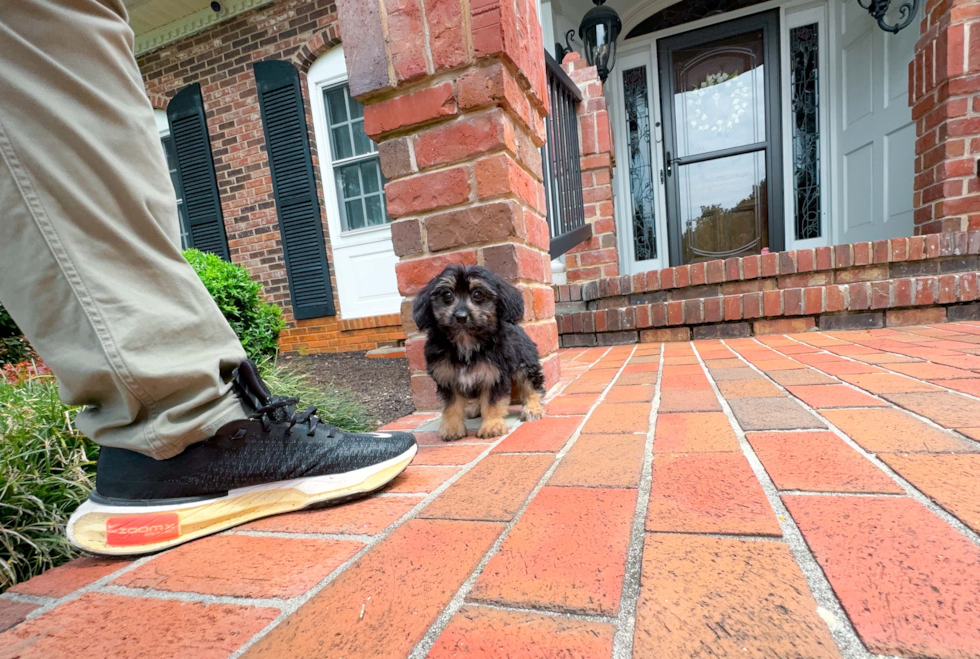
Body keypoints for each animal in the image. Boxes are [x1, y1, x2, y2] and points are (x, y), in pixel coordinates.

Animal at [412, 264, 548, 444]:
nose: (461, 317)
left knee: (532, 386)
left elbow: (492, 402)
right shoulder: (446, 376)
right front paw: (452, 428)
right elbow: (451, 405)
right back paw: (475, 408)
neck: (466, 341)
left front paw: (492, 425)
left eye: (478, 294)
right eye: (447, 294)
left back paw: (533, 408)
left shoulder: (494, 375)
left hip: (525, 364)